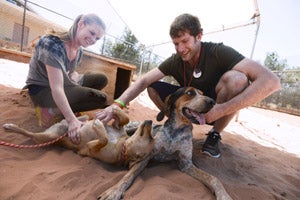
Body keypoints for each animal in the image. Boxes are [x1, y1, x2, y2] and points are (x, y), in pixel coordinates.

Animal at [2, 107, 155, 168]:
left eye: (151, 139)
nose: (151, 121)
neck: (122, 145)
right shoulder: (117, 127)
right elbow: (125, 119)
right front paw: (114, 110)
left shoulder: (90, 148)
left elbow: (103, 139)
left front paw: (99, 126)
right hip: (80, 119)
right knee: (81, 117)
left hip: (48, 136)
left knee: (29, 134)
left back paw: (10, 127)